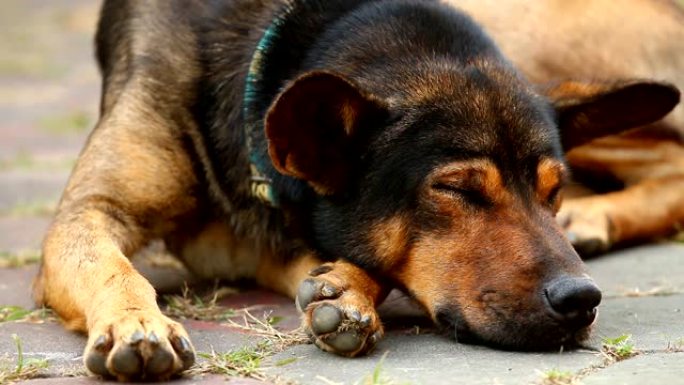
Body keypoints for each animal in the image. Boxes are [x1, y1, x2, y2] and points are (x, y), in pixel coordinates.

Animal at [30, 0, 680, 380]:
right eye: (456, 190)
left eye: (552, 190)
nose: (581, 299)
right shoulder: (92, 213)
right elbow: (114, 268)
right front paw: (136, 323)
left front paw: (345, 289)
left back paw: (594, 220)